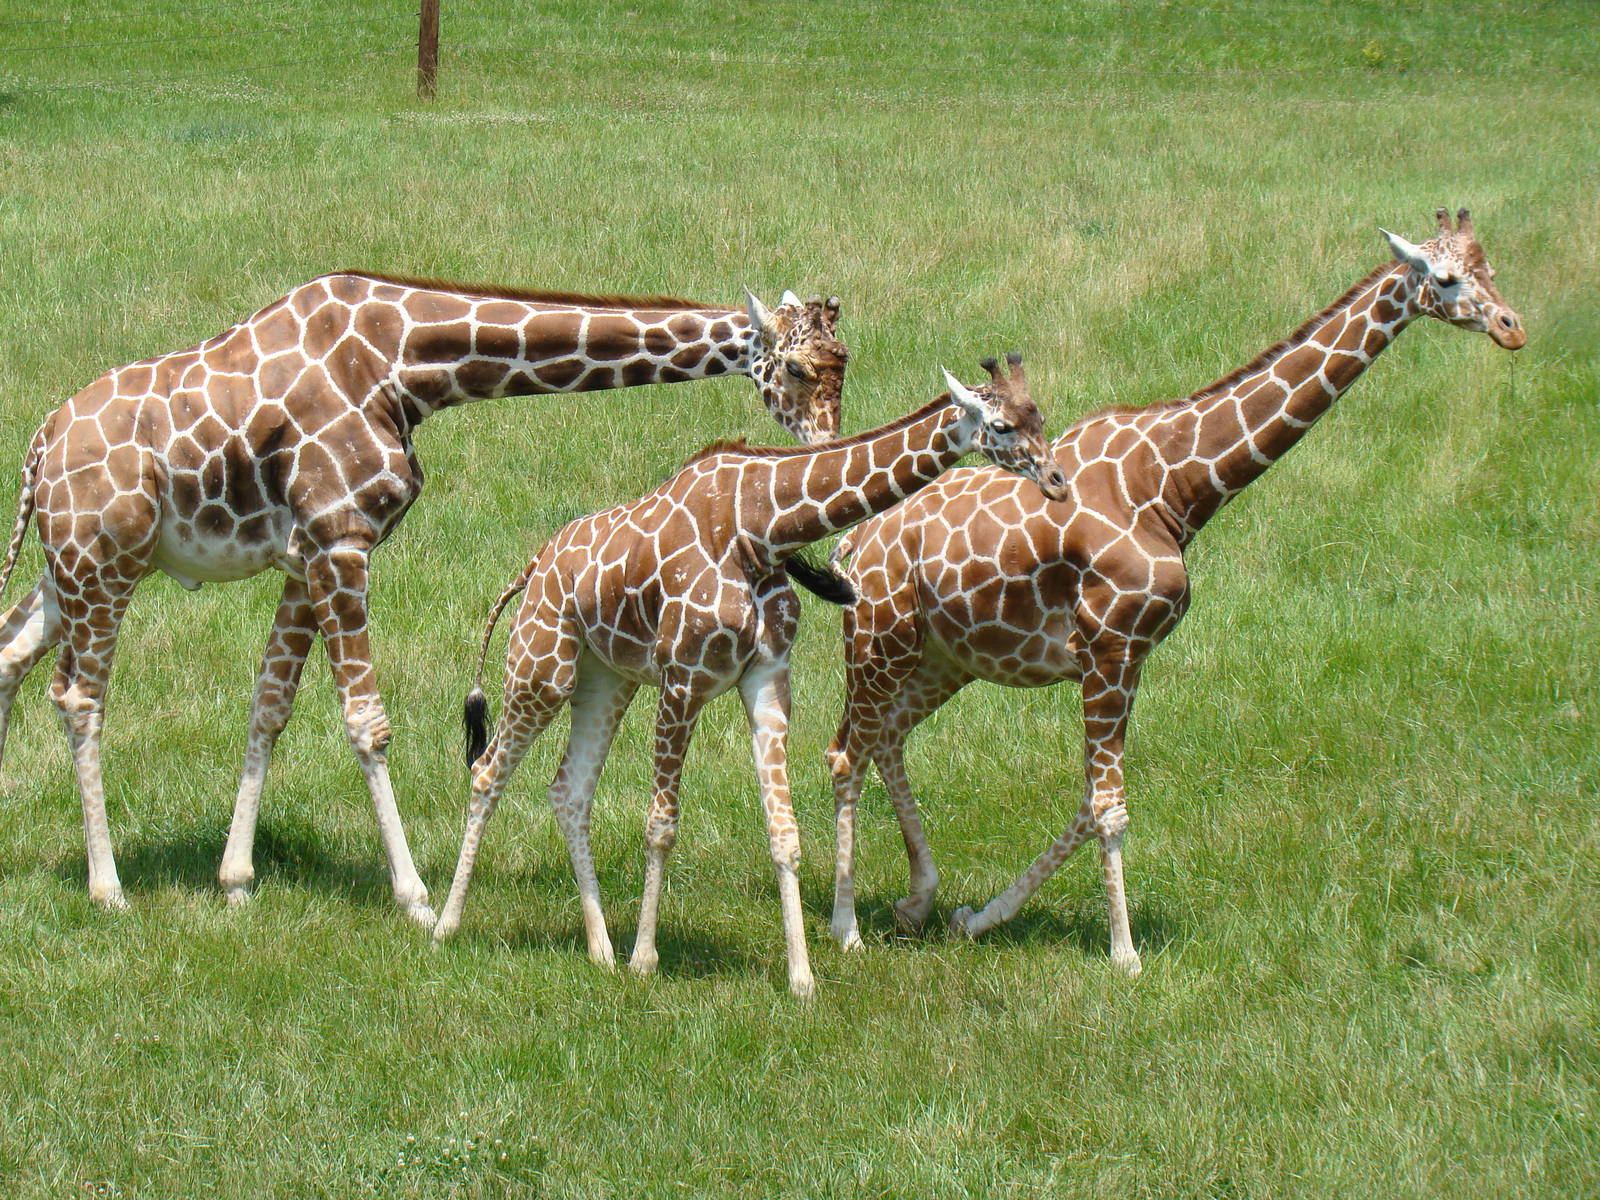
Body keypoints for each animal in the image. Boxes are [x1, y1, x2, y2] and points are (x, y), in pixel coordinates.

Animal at [0, 271, 848, 923]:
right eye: (798, 370)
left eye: (844, 362)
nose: (826, 446)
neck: (406, 364)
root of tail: (38, 449)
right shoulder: (341, 541)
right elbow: (367, 724)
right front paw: (412, 896)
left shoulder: (307, 554)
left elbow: (270, 703)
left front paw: (236, 880)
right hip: (103, 563)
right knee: (78, 698)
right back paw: (107, 888)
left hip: (69, 567)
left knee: (10, 653)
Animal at [430, 355, 1072, 997]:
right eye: (1002, 425)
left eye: (1039, 415)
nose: (1058, 481)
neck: (761, 528)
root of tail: (533, 565)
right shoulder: (683, 676)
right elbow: (661, 823)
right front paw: (646, 960)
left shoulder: (767, 676)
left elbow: (784, 832)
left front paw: (802, 978)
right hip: (542, 669)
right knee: (488, 772)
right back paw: (447, 925)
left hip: (605, 679)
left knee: (568, 791)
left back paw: (600, 950)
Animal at [823, 210, 1525, 973]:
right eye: (1447, 278)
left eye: (1489, 269)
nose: (1512, 327)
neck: (1173, 486)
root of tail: (856, 545)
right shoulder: (1109, 649)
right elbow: (1109, 807)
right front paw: (1125, 955)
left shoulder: (1128, 658)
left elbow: (1092, 800)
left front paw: (979, 918)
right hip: (880, 643)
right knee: (845, 752)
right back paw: (845, 928)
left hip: (946, 656)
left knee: (888, 738)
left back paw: (917, 900)